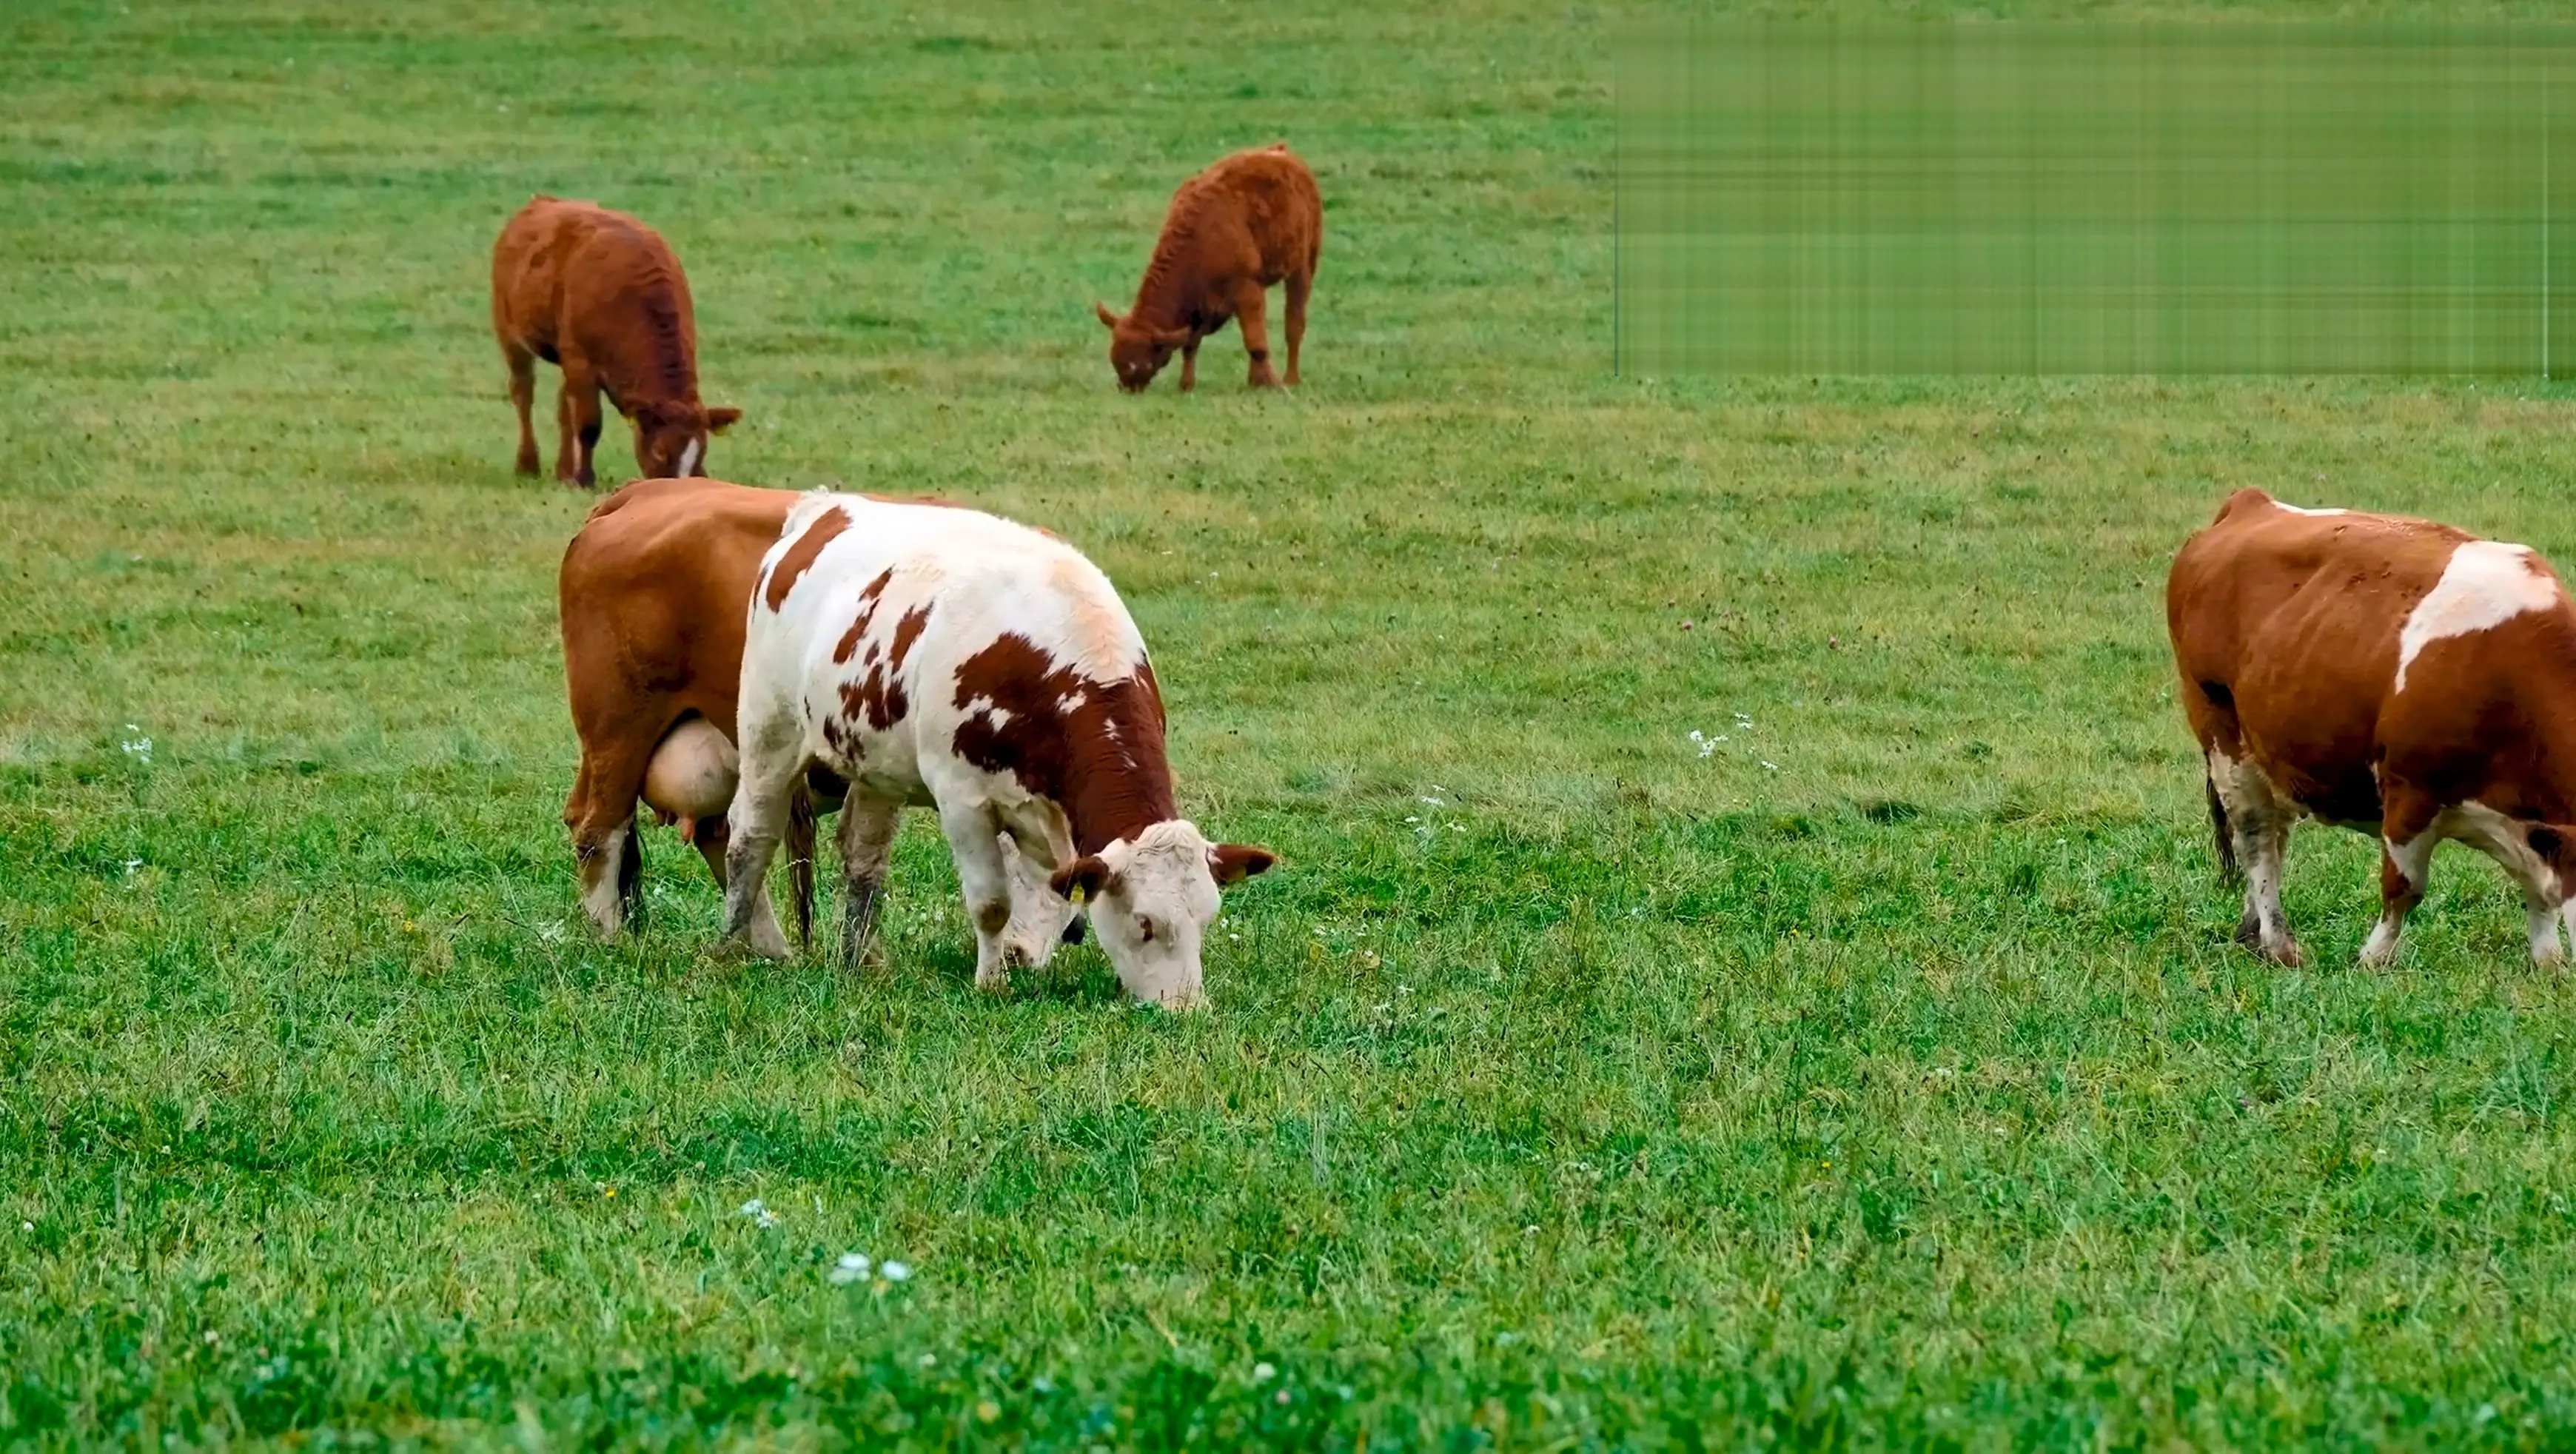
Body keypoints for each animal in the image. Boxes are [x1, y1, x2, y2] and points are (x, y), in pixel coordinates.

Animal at [492, 193, 742, 492]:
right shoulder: (581, 362)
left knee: (563, 406)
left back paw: (563, 470)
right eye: (660, 451)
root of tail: (543, 201)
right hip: (510, 333)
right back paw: (528, 465)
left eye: (701, 451)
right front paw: (585, 479)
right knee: (523, 392)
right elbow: (588, 425)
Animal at [559, 477, 1081, 964]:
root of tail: (637, 493)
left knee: (717, 832)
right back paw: (611, 939)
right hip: (621, 732)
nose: (1019, 956)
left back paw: (770, 949)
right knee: (596, 829)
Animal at [721, 495, 1283, 1005]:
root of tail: (822, 507)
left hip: (875, 763)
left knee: (863, 854)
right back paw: (731, 947)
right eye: (1145, 923)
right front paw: (991, 982)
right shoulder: (962, 801)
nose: (1187, 1008)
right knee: (750, 835)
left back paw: (860, 960)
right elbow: (992, 903)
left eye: (1205, 919)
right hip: (769, 729)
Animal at [1092, 142, 1318, 392]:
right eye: (1115, 359)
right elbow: (1191, 345)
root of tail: (1279, 152)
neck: (1199, 241)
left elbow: (1256, 344)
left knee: (1294, 324)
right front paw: (1186, 385)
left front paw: (1274, 384)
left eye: (1136, 364)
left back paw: (1291, 378)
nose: (1127, 389)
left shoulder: (1246, 290)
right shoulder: (1201, 305)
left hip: (1303, 266)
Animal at [2164, 484, 2576, 964]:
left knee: (2274, 832)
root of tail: (2250, 503)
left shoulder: (2532, 829)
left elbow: (2542, 894)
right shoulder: (2409, 790)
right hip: (2221, 730)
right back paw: (2279, 942)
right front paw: (2373, 959)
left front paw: (2548, 961)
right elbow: (2404, 888)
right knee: (2256, 835)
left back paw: (2253, 932)